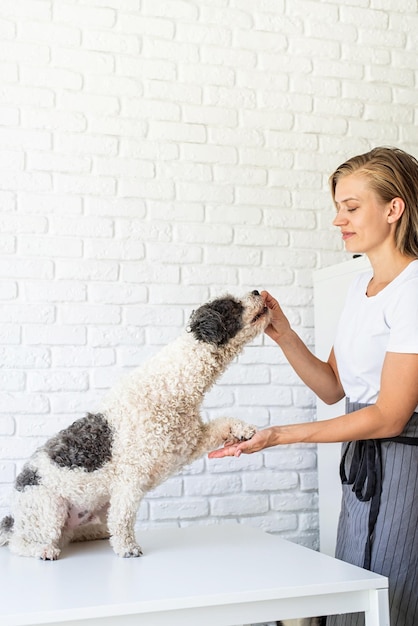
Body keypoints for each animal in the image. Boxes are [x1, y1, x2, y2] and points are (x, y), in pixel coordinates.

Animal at [0, 290, 272, 560]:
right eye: (231, 304)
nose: (257, 291)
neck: (171, 385)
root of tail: (13, 517)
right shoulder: (131, 477)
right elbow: (124, 517)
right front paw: (127, 547)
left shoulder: (188, 442)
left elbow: (222, 424)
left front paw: (243, 430)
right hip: (48, 508)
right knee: (19, 542)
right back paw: (43, 550)